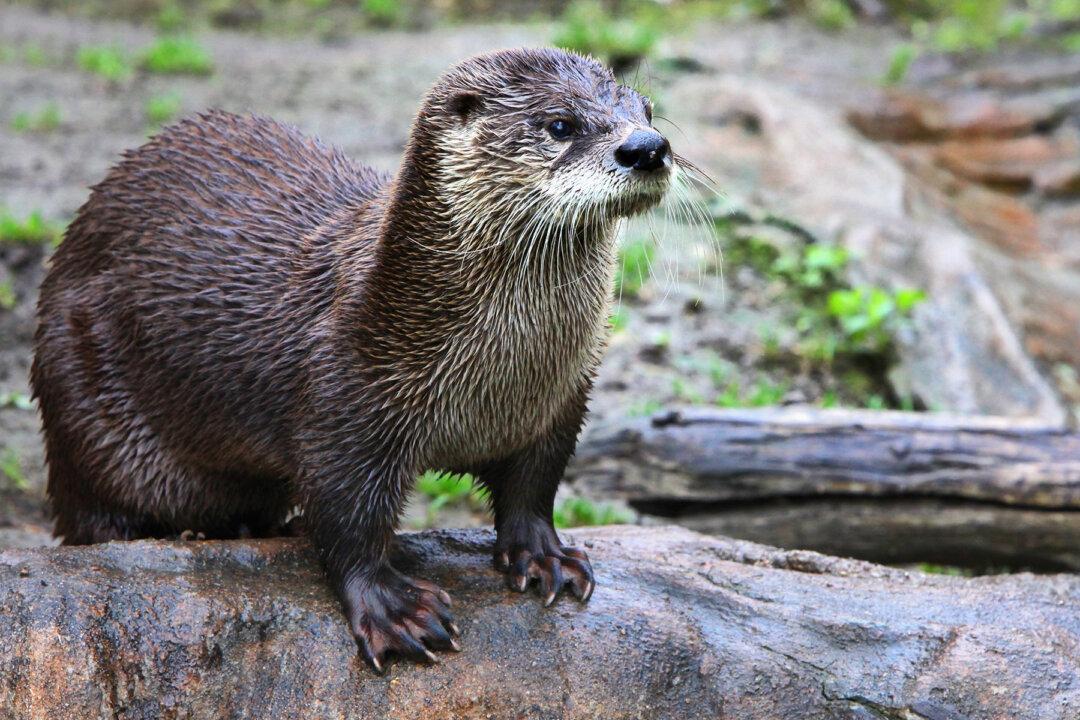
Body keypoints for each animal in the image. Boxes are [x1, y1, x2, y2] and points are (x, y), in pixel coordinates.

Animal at [31, 47, 674, 670]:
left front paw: (545, 555)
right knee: (92, 515)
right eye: (559, 124)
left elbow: (533, 487)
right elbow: (346, 516)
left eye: (646, 110)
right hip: (80, 404)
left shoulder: (560, 403)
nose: (647, 148)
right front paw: (394, 608)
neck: (499, 380)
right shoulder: (344, 396)